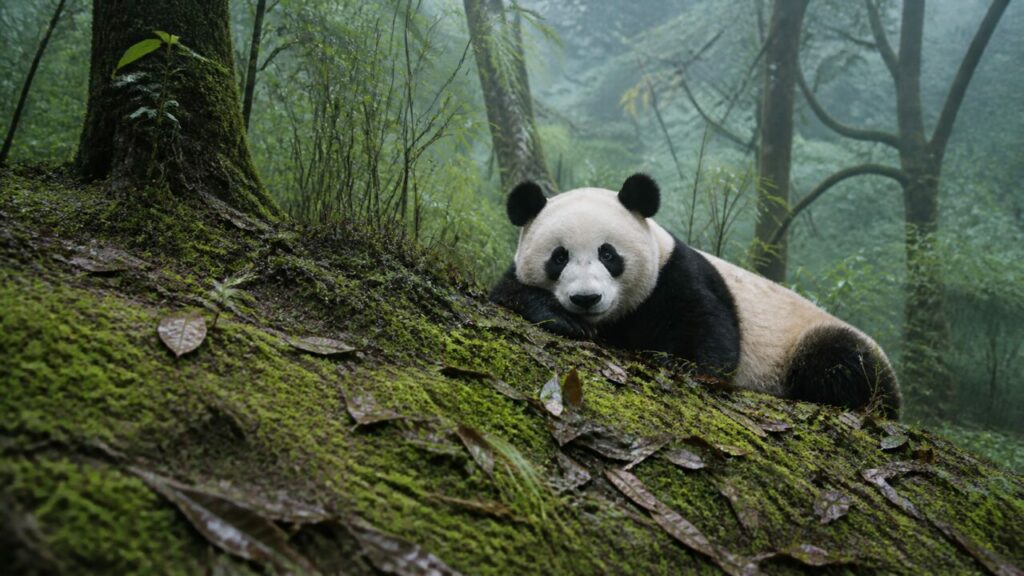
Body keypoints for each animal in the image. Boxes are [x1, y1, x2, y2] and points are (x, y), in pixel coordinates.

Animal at [490, 173, 901, 417]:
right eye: (559, 257)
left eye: (608, 254)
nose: (586, 299)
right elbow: (508, 291)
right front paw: (564, 320)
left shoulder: (676, 275)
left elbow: (708, 325)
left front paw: (686, 365)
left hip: (811, 340)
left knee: (841, 361)